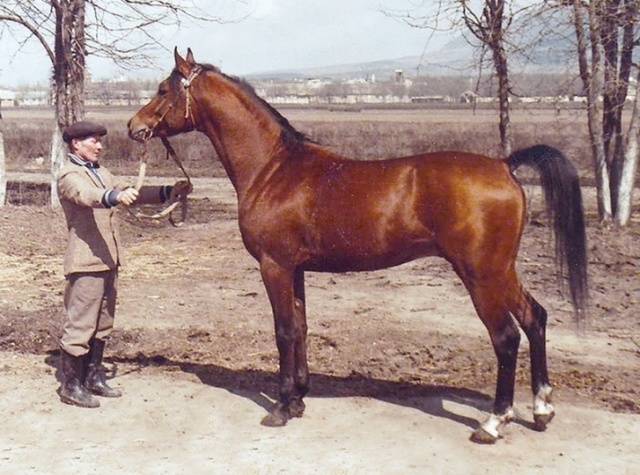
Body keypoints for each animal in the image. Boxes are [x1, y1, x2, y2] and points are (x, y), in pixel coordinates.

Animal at [127, 48, 588, 442]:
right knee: (535, 318)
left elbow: (283, 331)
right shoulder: (295, 269)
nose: (134, 128)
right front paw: (298, 399)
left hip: (481, 275)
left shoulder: (274, 266)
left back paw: (493, 423)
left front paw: (280, 407)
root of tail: (504, 165)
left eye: (163, 90)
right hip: (502, 270)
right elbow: (300, 327)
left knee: (506, 337)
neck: (273, 169)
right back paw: (542, 410)